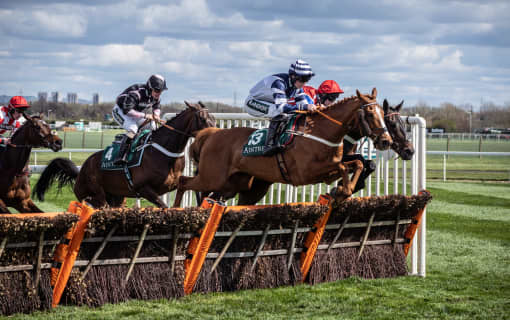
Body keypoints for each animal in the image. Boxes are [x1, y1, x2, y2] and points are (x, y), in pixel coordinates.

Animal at [32, 101, 214, 209]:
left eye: (212, 117)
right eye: (201, 118)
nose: (215, 133)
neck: (163, 153)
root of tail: (81, 170)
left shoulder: (173, 183)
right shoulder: (144, 188)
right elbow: (164, 206)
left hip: (117, 197)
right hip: (95, 194)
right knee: (93, 204)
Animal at [173, 88, 392, 208]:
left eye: (383, 113)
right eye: (370, 114)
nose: (386, 141)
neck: (321, 132)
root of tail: (211, 134)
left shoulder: (331, 165)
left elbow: (358, 164)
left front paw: (343, 190)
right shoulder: (305, 173)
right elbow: (344, 167)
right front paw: (341, 190)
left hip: (238, 185)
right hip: (212, 177)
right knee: (183, 182)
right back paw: (173, 209)